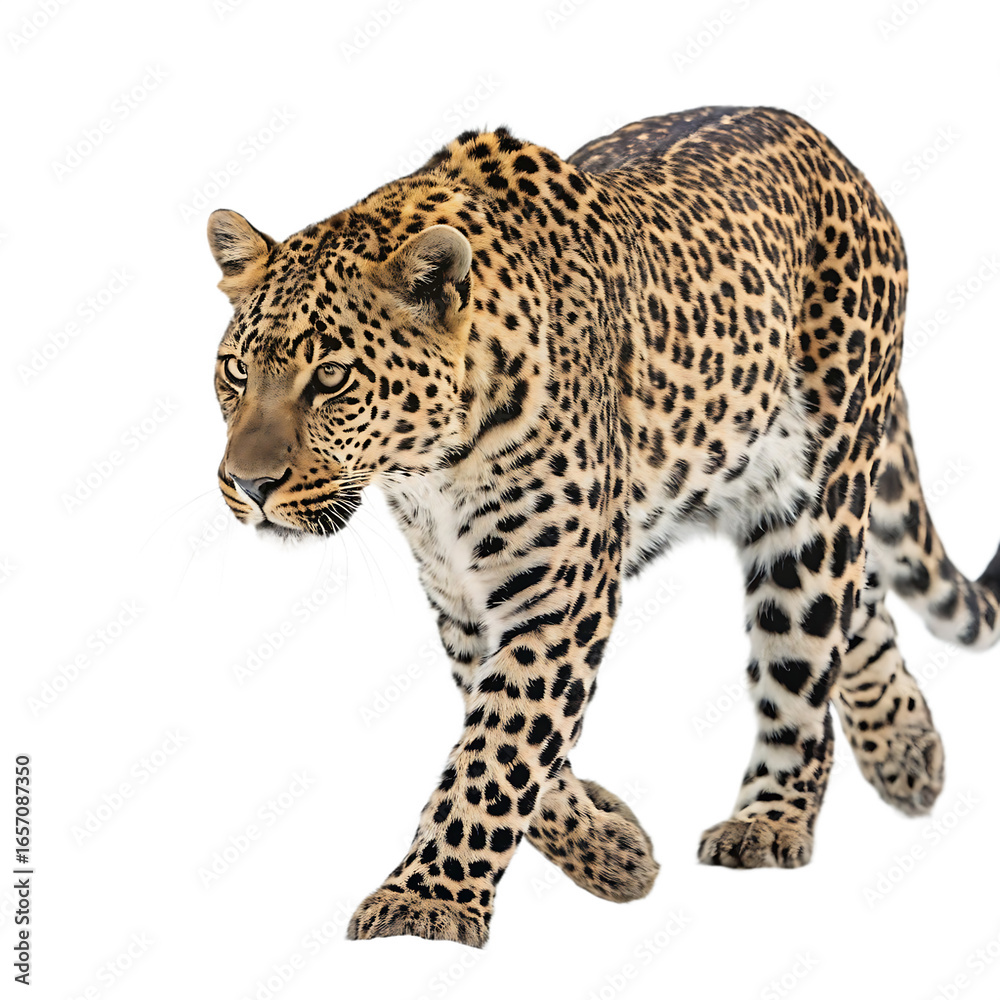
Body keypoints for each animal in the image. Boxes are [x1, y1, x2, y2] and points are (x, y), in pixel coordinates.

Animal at [205, 106, 1000, 947]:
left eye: (331, 378)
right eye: (236, 371)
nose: (249, 486)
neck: (431, 469)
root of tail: (828, 148)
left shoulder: (559, 591)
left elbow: (500, 751)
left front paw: (428, 902)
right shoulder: (464, 600)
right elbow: (517, 745)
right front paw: (615, 850)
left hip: (818, 493)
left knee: (807, 655)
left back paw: (769, 821)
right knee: (864, 601)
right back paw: (908, 753)